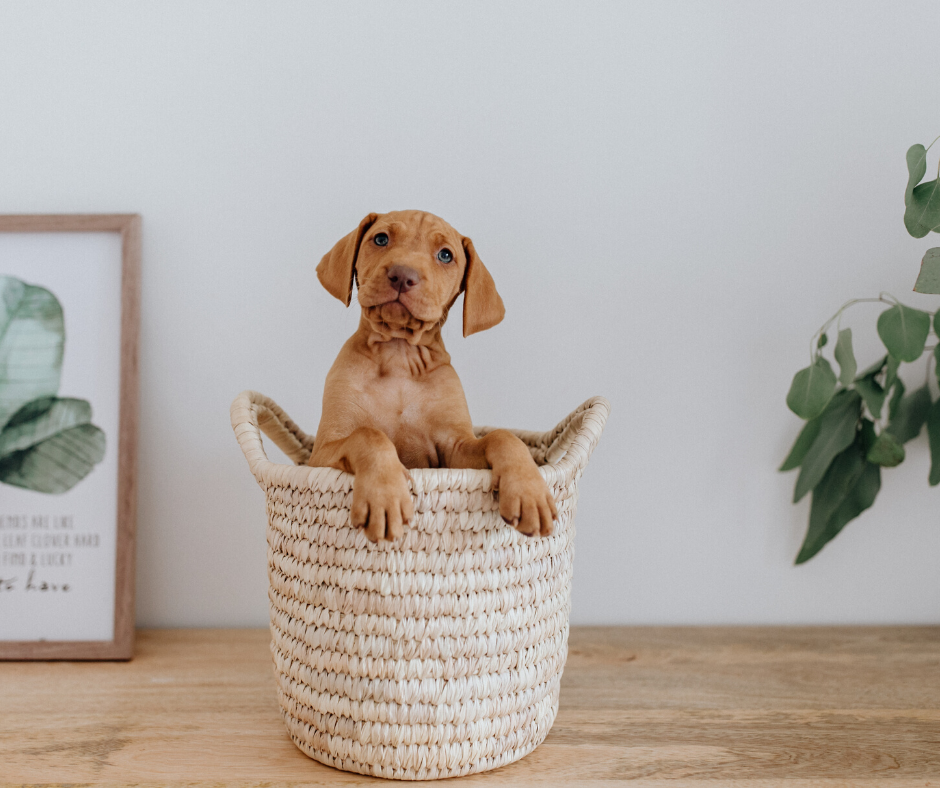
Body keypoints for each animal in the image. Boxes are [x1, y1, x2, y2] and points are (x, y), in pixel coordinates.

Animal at [308, 209, 560, 540]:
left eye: (445, 255)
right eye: (380, 239)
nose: (402, 275)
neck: (399, 353)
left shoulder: (455, 449)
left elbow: (502, 437)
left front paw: (529, 491)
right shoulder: (321, 454)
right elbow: (369, 435)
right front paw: (384, 497)